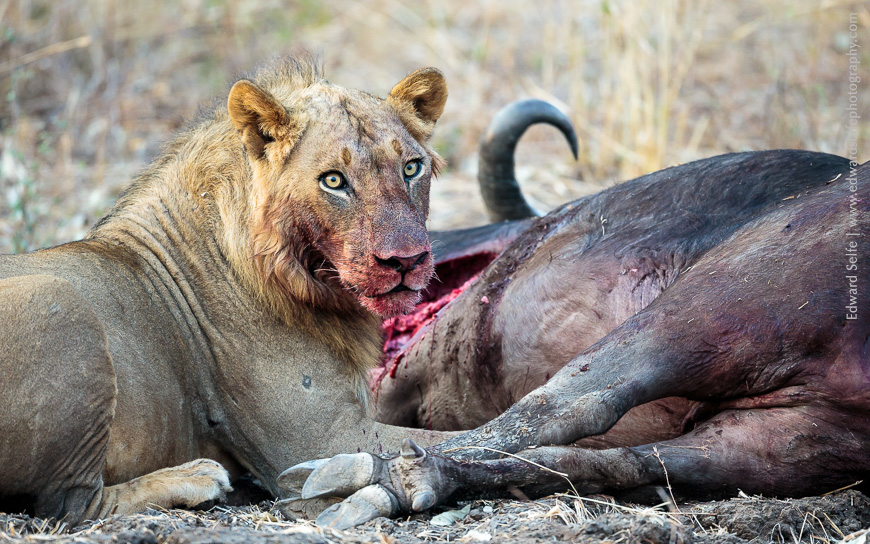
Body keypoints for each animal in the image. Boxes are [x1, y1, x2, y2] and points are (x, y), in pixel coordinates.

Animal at [0, 55, 456, 523]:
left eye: (411, 168)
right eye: (333, 181)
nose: (406, 261)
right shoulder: (318, 442)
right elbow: (455, 437)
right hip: (56, 296)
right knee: (71, 505)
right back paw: (198, 478)